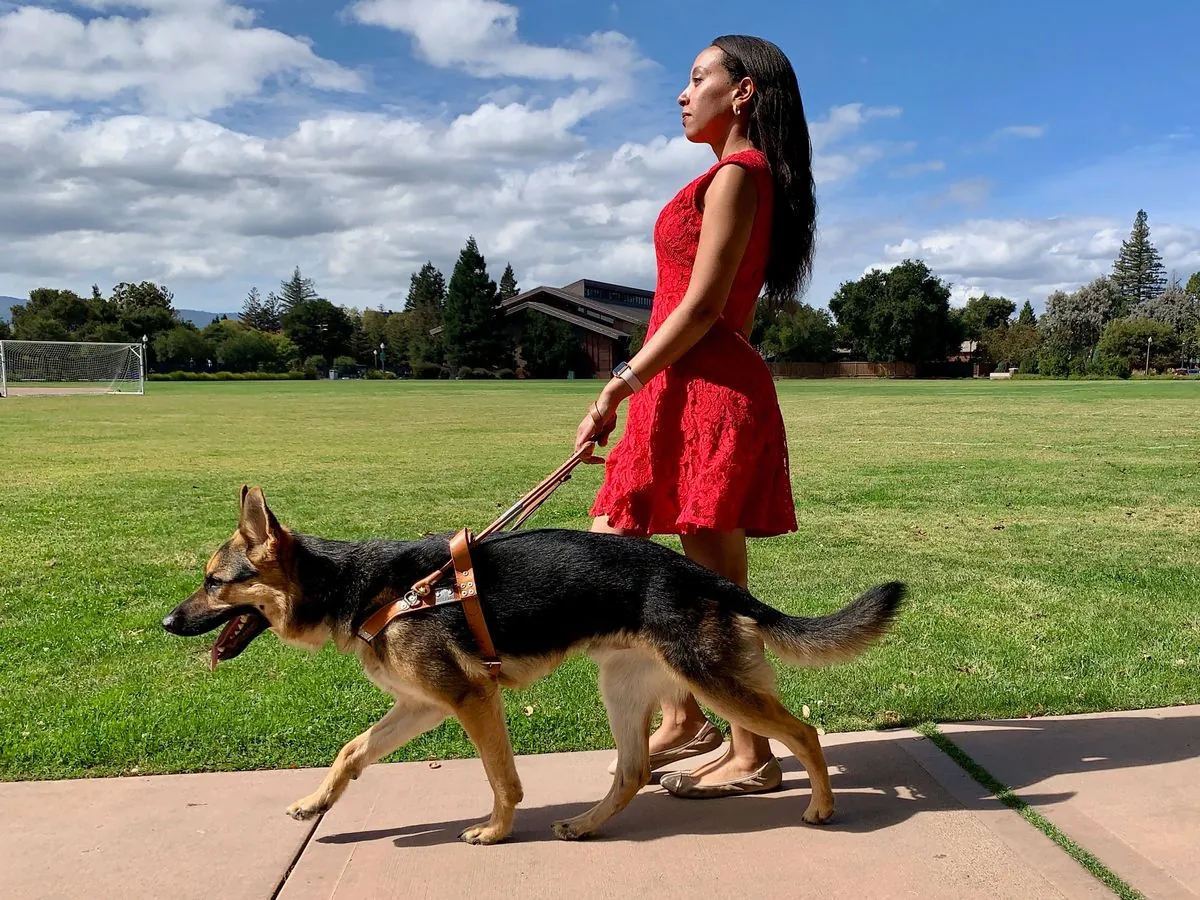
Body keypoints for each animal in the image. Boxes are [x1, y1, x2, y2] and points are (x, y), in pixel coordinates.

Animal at [164, 487, 902, 844]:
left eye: (214, 582)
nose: (167, 623)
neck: (360, 586)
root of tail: (701, 574)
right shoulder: (422, 705)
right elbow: (351, 751)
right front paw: (315, 802)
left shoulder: (469, 701)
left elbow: (501, 777)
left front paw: (495, 831)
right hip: (625, 690)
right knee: (634, 771)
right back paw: (587, 825)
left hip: (713, 684)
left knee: (804, 732)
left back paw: (822, 808)